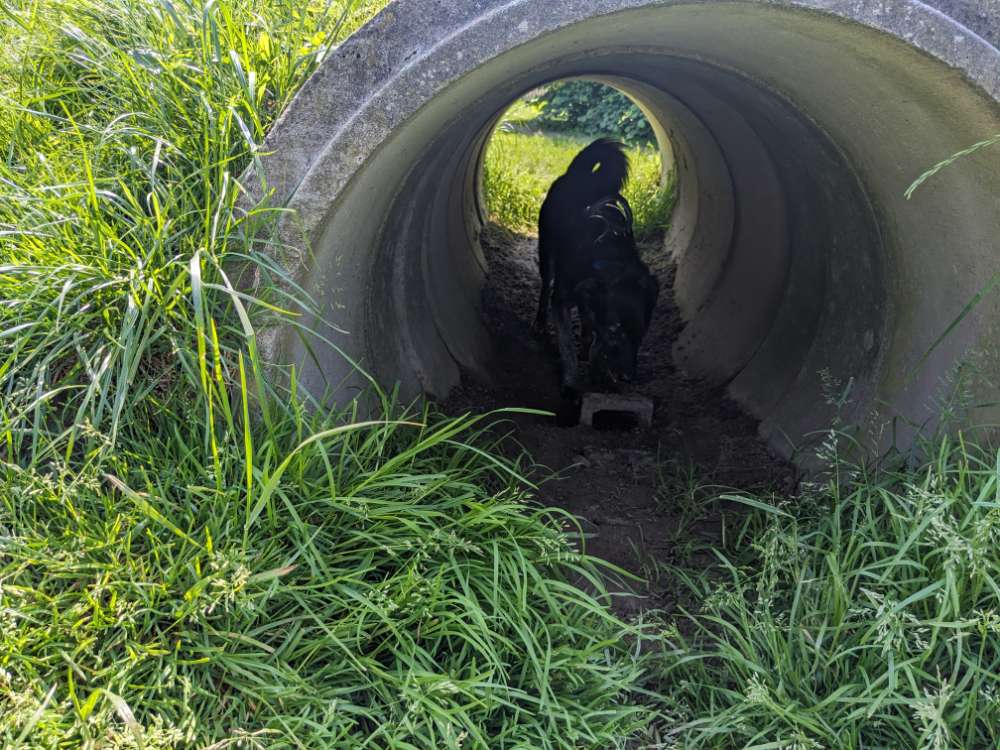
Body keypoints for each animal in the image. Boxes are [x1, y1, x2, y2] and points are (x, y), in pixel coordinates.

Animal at [534, 138, 659, 397]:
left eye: (641, 332)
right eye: (615, 330)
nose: (628, 377)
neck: (609, 258)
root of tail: (581, 173)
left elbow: (597, 343)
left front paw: (599, 373)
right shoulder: (561, 301)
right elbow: (567, 347)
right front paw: (572, 383)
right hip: (546, 252)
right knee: (545, 287)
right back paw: (540, 323)